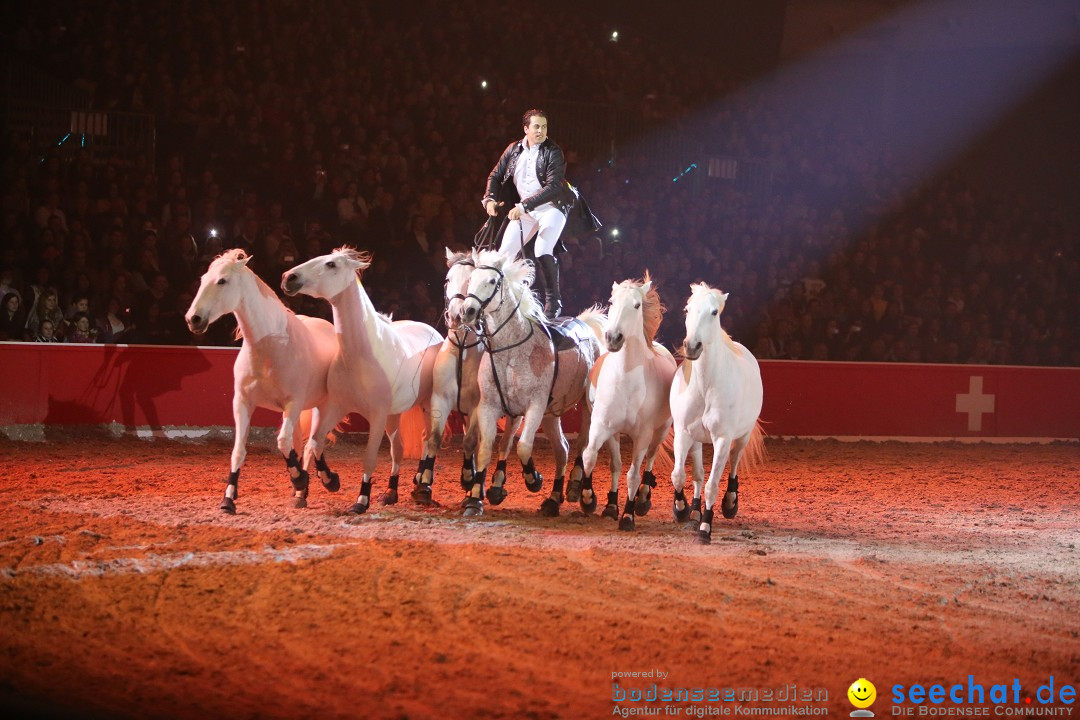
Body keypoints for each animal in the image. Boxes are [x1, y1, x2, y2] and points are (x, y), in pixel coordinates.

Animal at [181, 250, 341, 515]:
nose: (193, 319)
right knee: (303, 443)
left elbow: (283, 443)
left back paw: (324, 481)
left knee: (314, 443)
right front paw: (228, 500)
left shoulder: (293, 403)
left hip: (323, 406)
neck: (270, 348)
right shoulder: (243, 403)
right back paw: (300, 493)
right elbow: (239, 451)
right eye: (203, 279)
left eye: (222, 281)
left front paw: (300, 478)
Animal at [285, 248, 444, 511]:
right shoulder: (336, 407)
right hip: (393, 415)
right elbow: (315, 442)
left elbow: (369, 458)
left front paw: (361, 500)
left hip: (426, 405)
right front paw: (329, 481)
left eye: (331, 264)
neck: (361, 354)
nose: (289, 277)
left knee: (427, 440)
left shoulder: (377, 415)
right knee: (398, 449)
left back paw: (422, 484)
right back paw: (391, 492)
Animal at [457, 250, 604, 515]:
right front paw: (474, 500)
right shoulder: (489, 406)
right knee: (562, 449)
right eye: (471, 278)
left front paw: (533, 478)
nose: (468, 311)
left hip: (587, 409)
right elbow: (486, 449)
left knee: (584, 445)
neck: (510, 350)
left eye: (492, 281)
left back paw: (581, 490)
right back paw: (553, 499)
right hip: (551, 414)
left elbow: (523, 446)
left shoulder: (534, 406)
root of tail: (586, 324)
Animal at [583, 273, 673, 533]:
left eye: (636, 305)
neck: (623, 379)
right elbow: (592, 457)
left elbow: (633, 475)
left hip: (661, 431)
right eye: (612, 302)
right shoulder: (602, 427)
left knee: (650, 460)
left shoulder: (642, 436)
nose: (613, 338)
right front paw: (590, 500)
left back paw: (642, 500)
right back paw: (611, 505)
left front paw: (628, 516)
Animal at [669, 284, 764, 544]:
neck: (705, 386)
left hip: (741, 437)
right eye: (687, 309)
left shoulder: (722, 439)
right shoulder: (683, 433)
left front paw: (705, 529)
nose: (692, 346)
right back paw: (694, 510)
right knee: (698, 475)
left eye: (714, 312)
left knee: (734, 464)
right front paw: (681, 509)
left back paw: (729, 504)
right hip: (696, 441)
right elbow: (679, 475)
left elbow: (712, 485)